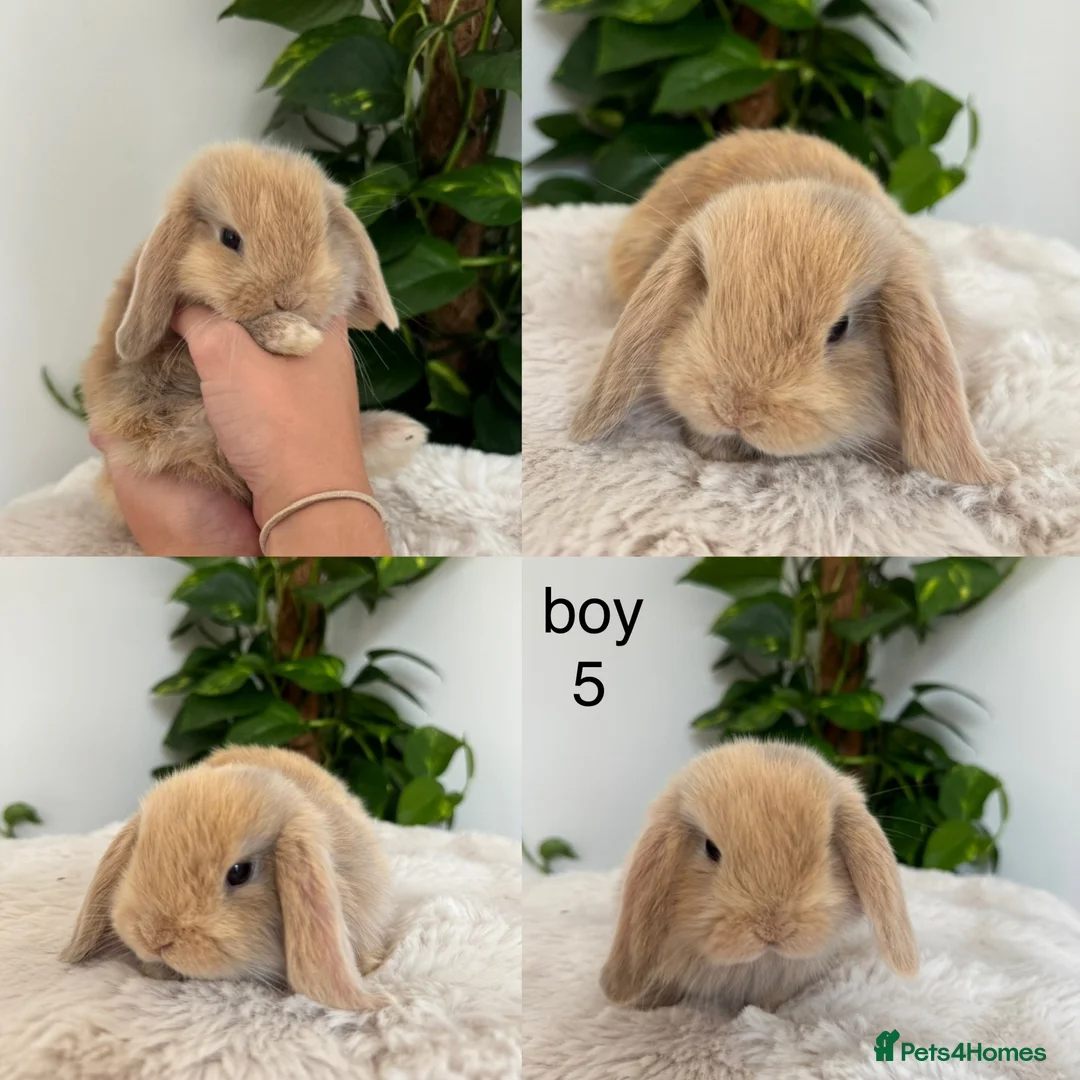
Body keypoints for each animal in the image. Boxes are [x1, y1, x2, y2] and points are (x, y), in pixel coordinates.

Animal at [82, 141, 427, 509]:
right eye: (229, 238)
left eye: (324, 234)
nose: (290, 297)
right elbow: (248, 324)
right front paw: (296, 335)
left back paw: (403, 433)